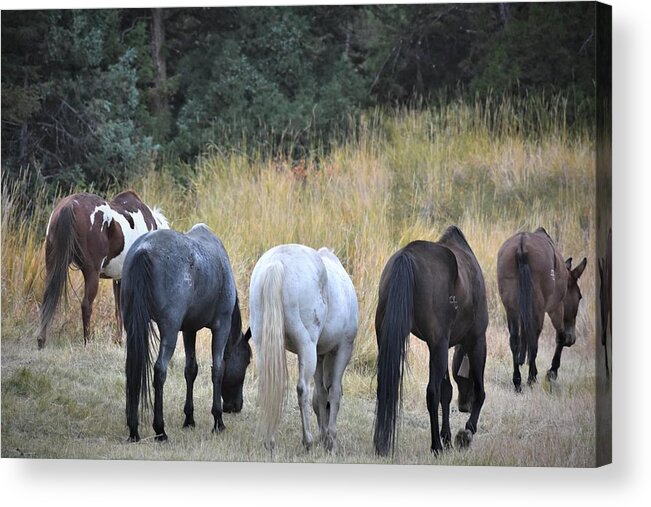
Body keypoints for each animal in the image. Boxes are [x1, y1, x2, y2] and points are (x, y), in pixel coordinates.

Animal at [36, 190, 169, 350]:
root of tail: (70, 205)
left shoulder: (119, 278)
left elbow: (119, 310)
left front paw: (119, 341)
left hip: (52, 264)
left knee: (47, 298)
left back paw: (41, 340)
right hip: (91, 272)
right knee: (86, 305)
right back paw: (87, 342)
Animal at [121, 224, 251, 442]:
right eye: (248, 361)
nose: (235, 406)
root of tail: (143, 250)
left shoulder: (189, 330)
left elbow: (191, 370)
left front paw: (189, 418)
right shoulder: (221, 326)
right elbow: (218, 369)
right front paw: (218, 421)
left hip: (133, 325)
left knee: (133, 369)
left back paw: (133, 430)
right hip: (170, 330)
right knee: (160, 371)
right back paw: (160, 430)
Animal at [250, 244, 362, 450]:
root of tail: (277, 263)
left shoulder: (320, 354)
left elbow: (321, 394)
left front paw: (324, 434)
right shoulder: (343, 348)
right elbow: (334, 392)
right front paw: (330, 439)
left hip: (264, 344)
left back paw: (270, 440)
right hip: (307, 347)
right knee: (302, 388)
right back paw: (307, 440)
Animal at [372, 226, 488, 456]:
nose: (464, 406)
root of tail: (407, 255)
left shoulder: (440, 347)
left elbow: (447, 391)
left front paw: (448, 437)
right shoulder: (477, 340)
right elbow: (479, 392)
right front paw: (465, 433)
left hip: (393, 338)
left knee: (385, 385)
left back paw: (381, 444)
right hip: (441, 345)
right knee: (432, 393)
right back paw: (436, 446)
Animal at [500, 228, 592, 390]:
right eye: (579, 297)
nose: (572, 339)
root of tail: (522, 247)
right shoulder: (555, 308)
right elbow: (560, 336)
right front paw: (551, 373)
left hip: (511, 307)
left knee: (515, 339)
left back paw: (517, 381)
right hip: (539, 308)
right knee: (534, 338)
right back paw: (531, 378)